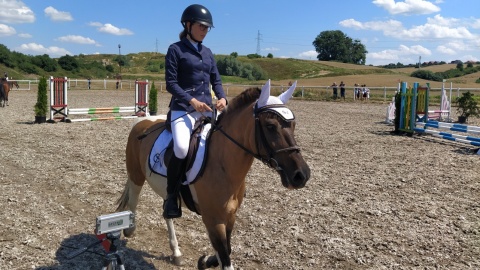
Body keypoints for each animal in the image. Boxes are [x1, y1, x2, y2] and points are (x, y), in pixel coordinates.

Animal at [116, 79, 312, 268]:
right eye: (270, 126)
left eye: (293, 125)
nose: (301, 175)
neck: (223, 164)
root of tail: (144, 121)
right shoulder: (213, 220)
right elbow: (225, 258)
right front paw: (207, 260)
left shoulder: (230, 216)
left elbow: (226, 250)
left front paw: (205, 261)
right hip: (136, 175)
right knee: (134, 199)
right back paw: (130, 229)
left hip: (165, 188)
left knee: (167, 212)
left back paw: (176, 252)